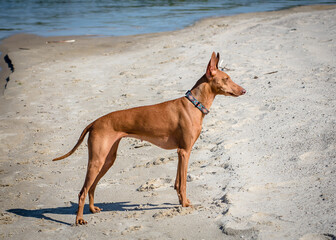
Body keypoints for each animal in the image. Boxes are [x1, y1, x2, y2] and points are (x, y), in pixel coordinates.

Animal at [53, 51, 247, 225]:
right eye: (226, 78)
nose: (244, 90)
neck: (194, 105)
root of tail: (94, 122)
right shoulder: (185, 151)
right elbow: (183, 182)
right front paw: (185, 204)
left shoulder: (180, 152)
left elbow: (177, 182)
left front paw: (181, 201)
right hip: (97, 160)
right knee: (83, 190)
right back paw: (79, 219)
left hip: (107, 159)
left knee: (92, 187)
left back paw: (92, 209)